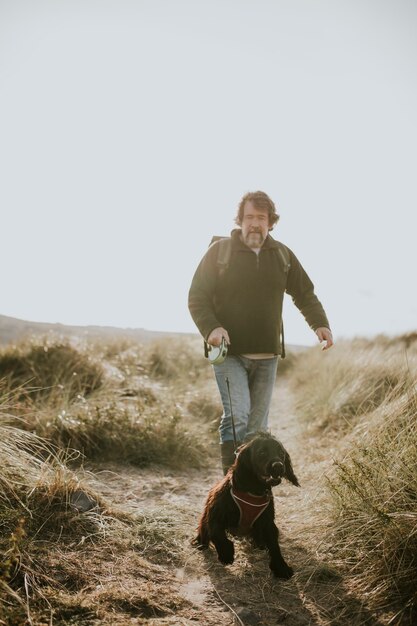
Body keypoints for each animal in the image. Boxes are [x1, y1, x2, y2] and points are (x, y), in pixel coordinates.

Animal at [193, 432, 298, 576]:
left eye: (281, 453)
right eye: (262, 452)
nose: (278, 466)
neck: (253, 491)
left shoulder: (268, 523)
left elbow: (274, 546)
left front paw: (281, 568)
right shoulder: (215, 516)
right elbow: (218, 535)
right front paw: (226, 554)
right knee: (203, 531)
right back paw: (199, 543)